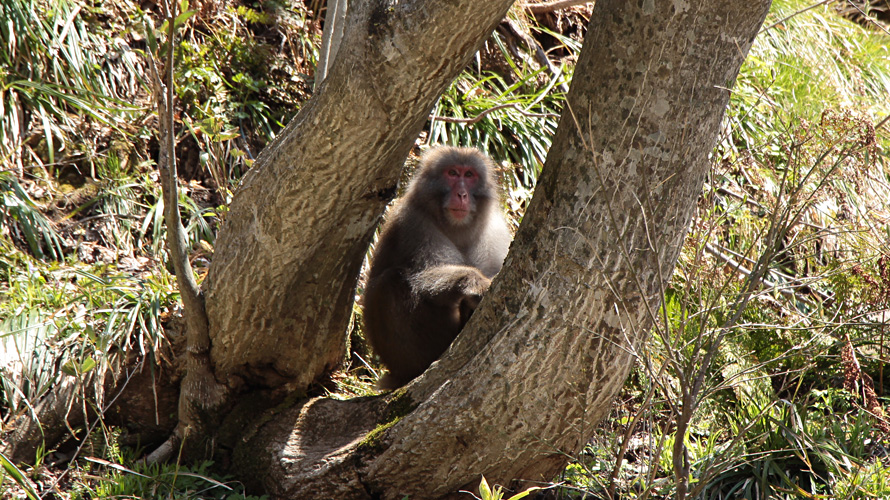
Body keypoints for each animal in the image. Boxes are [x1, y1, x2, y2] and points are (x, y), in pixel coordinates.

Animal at [360, 146, 510, 388]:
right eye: (453, 173)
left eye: (469, 175)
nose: (462, 194)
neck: (457, 227)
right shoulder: (414, 223)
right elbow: (424, 277)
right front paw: (475, 283)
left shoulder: (496, 229)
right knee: (391, 283)